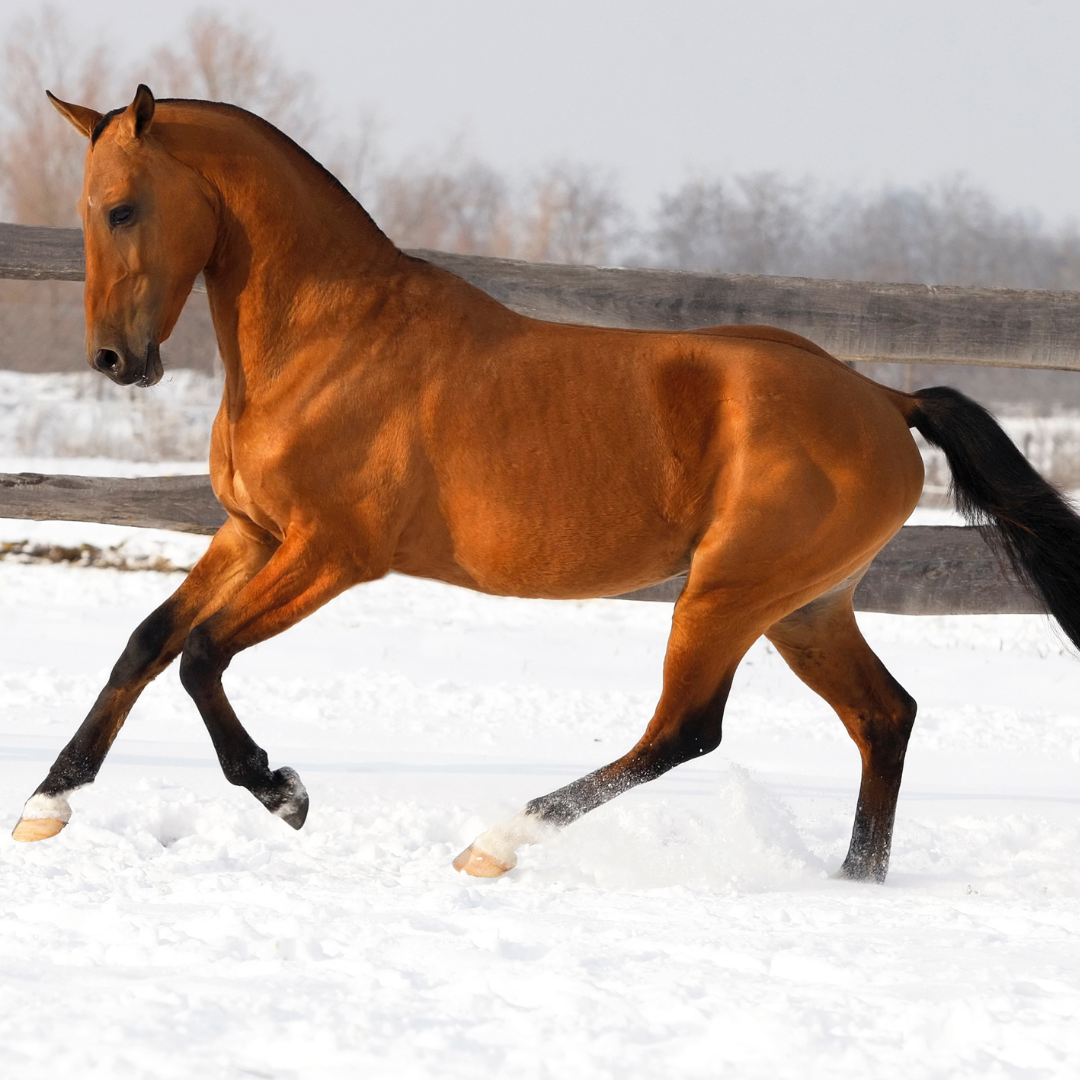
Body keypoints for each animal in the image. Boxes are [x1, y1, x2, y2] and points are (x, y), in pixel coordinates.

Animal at [13, 85, 1080, 885]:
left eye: (123, 207)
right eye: (84, 211)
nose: (115, 361)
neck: (330, 338)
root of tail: (885, 398)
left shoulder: (332, 553)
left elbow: (201, 656)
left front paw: (284, 793)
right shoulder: (250, 532)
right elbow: (146, 642)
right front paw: (45, 806)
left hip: (730, 594)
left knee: (686, 730)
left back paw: (494, 845)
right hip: (806, 607)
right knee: (882, 716)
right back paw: (856, 881)